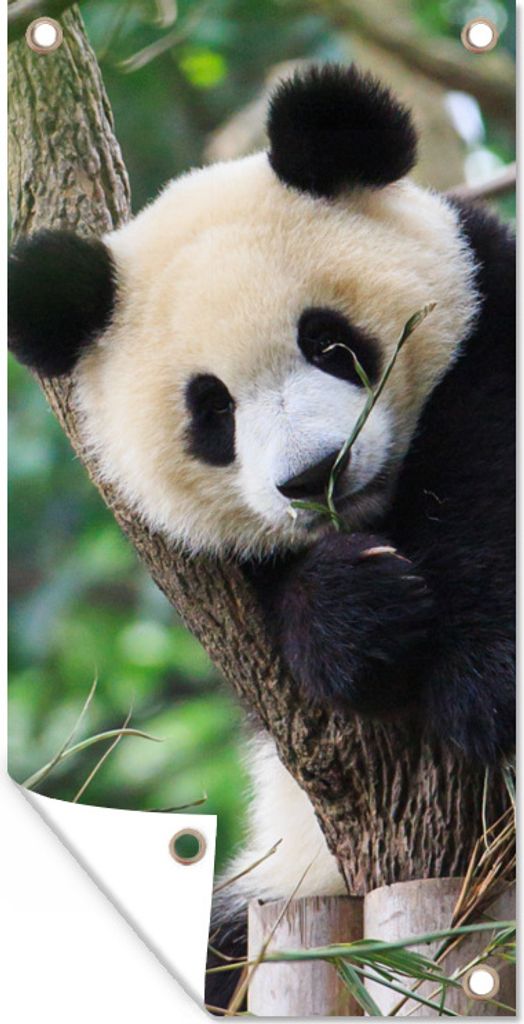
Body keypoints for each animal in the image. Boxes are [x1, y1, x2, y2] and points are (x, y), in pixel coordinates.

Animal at [9, 64, 514, 1012]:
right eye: (212, 412)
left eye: (328, 340)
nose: (317, 475)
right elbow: (269, 622)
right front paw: (356, 612)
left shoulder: (496, 321)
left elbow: (491, 471)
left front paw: (484, 684)